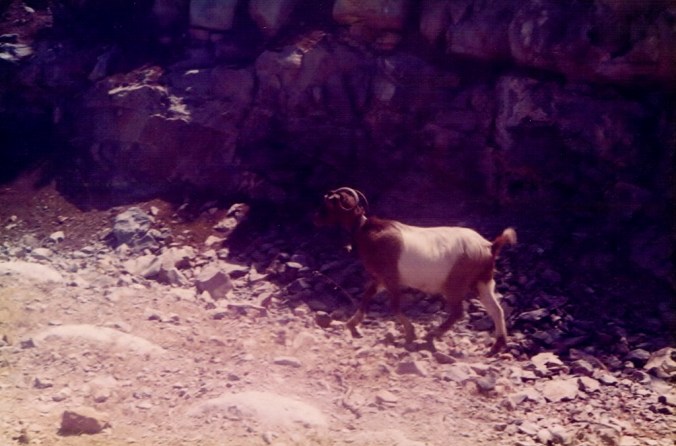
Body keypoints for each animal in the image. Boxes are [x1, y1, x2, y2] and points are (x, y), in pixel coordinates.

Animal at [315, 187, 516, 356]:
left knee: (458, 312)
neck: (367, 231)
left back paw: (431, 335)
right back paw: (497, 345)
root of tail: (489, 246)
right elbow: (366, 297)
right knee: (496, 310)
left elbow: (394, 306)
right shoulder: (380, 279)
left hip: (455, 284)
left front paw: (411, 333)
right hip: (483, 282)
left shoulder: (391, 278)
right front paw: (352, 324)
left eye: (329, 204)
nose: (315, 217)